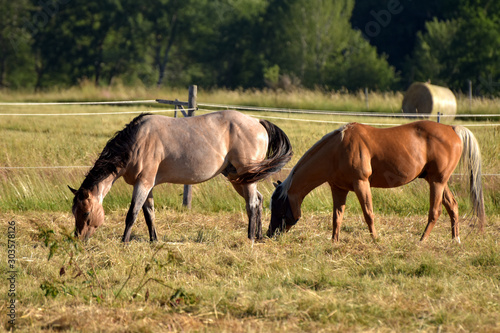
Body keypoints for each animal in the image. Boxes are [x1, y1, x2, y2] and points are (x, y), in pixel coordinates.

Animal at [68, 110, 292, 243]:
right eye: (74, 212)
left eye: (86, 213)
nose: (78, 239)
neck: (136, 142)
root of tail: (258, 122)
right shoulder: (148, 185)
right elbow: (149, 214)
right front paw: (154, 240)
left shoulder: (143, 183)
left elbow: (132, 213)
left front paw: (124, 241)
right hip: (239, 178)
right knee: (259, 200)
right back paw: (259, 236)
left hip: (244, 177)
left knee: (252, 204)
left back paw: (250, 238)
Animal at [270, 119, 484, 241]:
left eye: (279, 207)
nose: (270, 235)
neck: (337, 148)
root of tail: (452, 129)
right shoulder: (338, 189)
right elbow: (337, 218)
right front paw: (334, 242)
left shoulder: (361, 184)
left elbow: (368, 214)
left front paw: (375, 240)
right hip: (437, 181)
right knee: (453, 206)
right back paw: (455, 240)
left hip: (437, 182)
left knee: (435, 211)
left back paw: (422, 241)